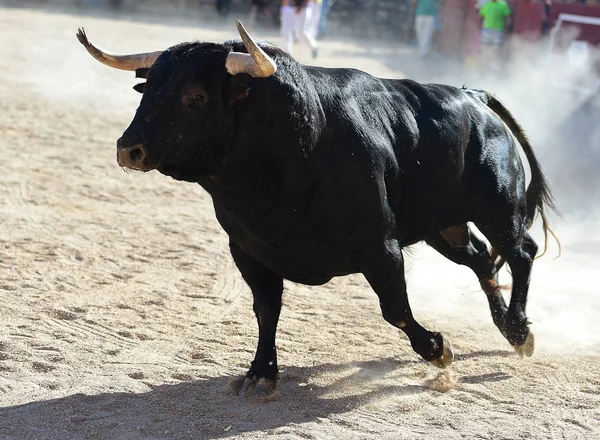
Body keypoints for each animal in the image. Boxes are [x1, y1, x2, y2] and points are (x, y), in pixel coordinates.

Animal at [78, 23, 556, 396]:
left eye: (195, 96)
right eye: (147, 90)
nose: (129, 149)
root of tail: (472, 96)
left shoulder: (381, 249)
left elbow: (396, 309)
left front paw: (439, 349)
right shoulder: (247, 250)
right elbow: (266, 309)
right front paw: (260, 373)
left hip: (499, 209)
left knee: (521, 252)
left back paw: (519, 330)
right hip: (443, 227)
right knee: (482, 260)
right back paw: (509, 328)